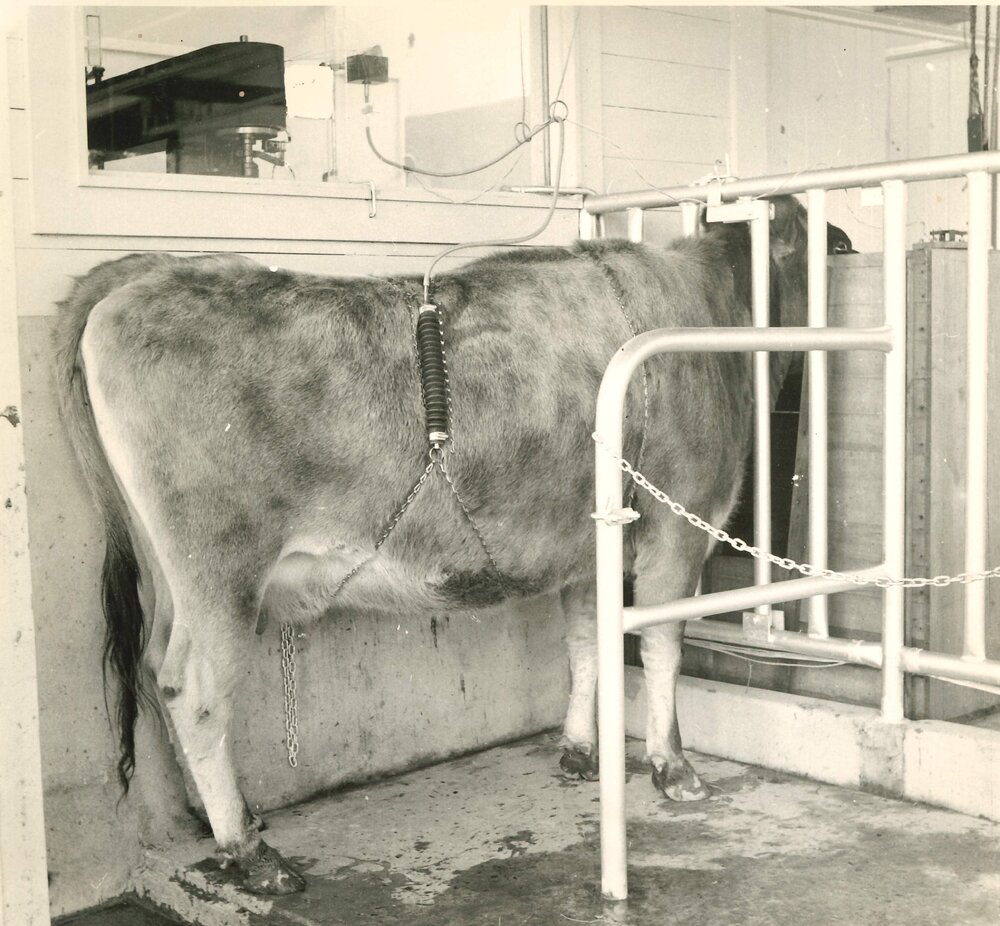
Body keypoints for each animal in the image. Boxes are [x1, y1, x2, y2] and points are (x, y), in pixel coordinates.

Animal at [55, 195, 827, 895]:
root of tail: (152, 271)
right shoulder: (680, 525)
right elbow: (663, 646)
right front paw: (675, 769)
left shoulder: (584, 544)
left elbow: (585, 642)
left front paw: (579, 750)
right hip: (220, 568)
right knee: (194, 689)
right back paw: (249, 852)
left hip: (169, 573)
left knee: (155, 664)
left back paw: (214, 819)